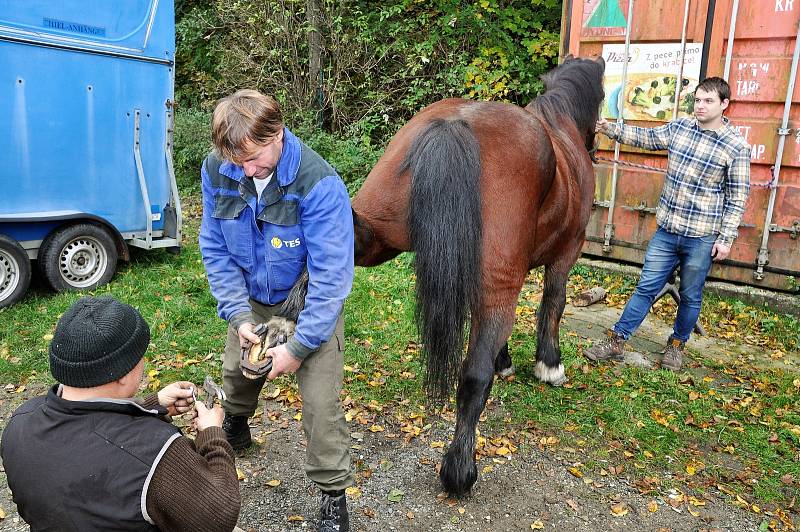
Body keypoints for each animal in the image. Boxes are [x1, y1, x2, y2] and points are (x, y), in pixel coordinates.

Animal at [352, 55, 608, 494]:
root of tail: (456, 123)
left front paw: (507, 361)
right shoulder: (565, 255)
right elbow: (553, 304)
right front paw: (549, 365)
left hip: (375, 233)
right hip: (500, 282)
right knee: (473, 376)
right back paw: (460, 469)